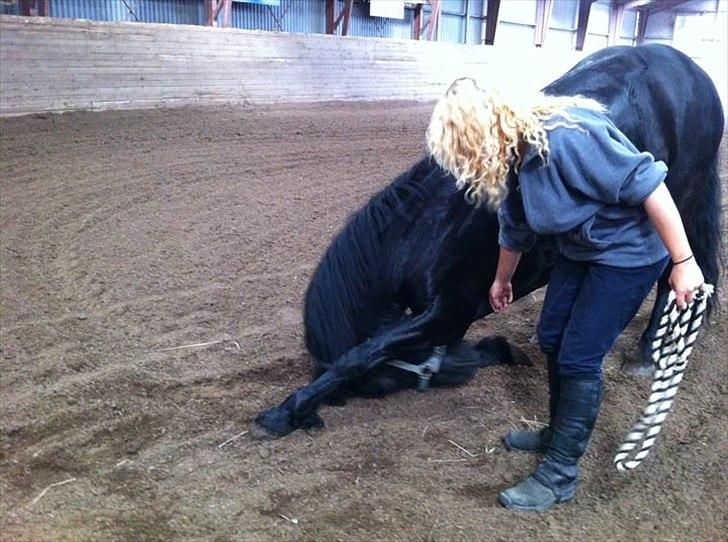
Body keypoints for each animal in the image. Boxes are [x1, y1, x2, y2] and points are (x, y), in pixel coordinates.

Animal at [251, 44, 723, 440]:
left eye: (386, 383)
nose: (464, 365)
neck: (430, 232)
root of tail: (692, 71)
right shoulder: (451, 317)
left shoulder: (448, 311)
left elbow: (362, 353)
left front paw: (285, 412)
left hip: (677, 203)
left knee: (671, 276)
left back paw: (645, 352)